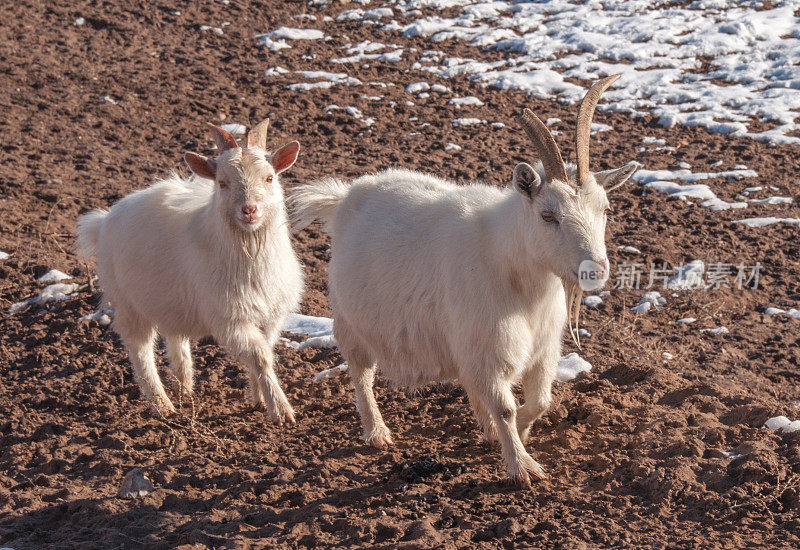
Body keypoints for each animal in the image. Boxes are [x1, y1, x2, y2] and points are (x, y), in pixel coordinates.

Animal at [77, 119, 304, 422]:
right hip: (127, 302)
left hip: (169, 300)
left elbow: (264, 353)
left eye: (269, 178)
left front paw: (258, 398)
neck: (251, 257)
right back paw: (161, 404)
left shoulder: (271, 314)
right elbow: (260, 357)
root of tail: (103, 221)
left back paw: (184, 387)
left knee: (174, 335)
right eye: (222, 183)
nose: (249, 210)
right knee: (140, 348)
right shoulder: (229, 318)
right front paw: (280, 410)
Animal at [290, 75, 640, 490]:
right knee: (361, 374)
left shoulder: (541, 348)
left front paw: (515, 435)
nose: (594, 270)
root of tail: (345, 197)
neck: (517, 276)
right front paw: (523, 467)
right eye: (548, 215)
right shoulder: (488, 345)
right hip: (351, 320)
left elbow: (539, 401)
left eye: (605, 209)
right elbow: (506, 407)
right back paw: (377, 433)